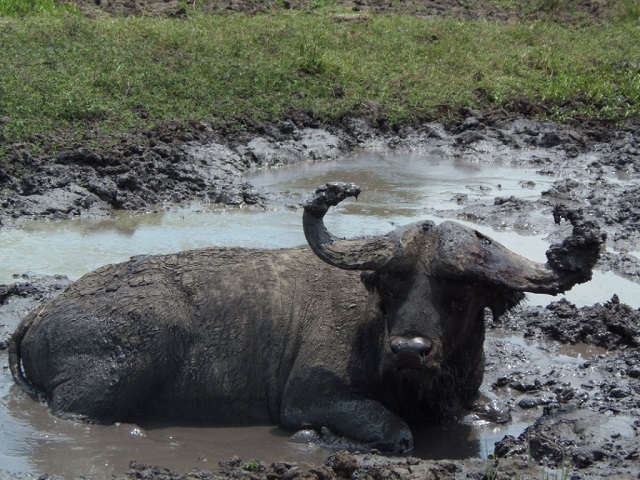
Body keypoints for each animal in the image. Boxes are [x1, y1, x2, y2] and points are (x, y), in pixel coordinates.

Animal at [7, 182, 604, 452]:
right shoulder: (310, 397)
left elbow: (495, 409)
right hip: (116, 375)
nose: (410, 350)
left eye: (460, 296)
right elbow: (394, 430)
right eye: (391, 287)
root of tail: (43, 309)